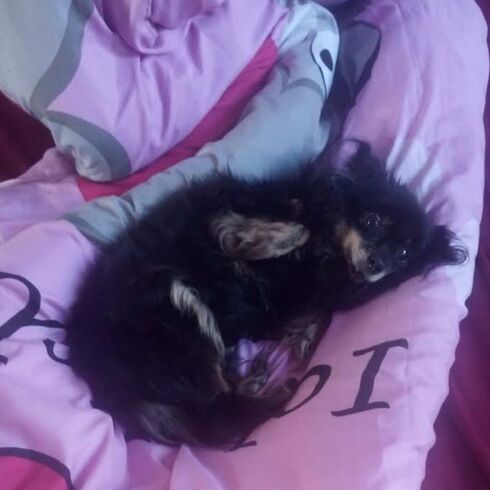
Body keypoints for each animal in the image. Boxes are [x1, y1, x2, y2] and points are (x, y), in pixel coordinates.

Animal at [65, 141, 467, 447]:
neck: (331, 257)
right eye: (371, 221)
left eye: (404, 254)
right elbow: (294, 228)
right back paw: (278, 390)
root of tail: (96, 371)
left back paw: (255, 377)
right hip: (176, 303)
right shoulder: (223, 213)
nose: (376, 262)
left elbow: (316, 317)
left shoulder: (296, 303)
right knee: (219, 415)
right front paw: (267, 241)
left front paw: (306, 337)